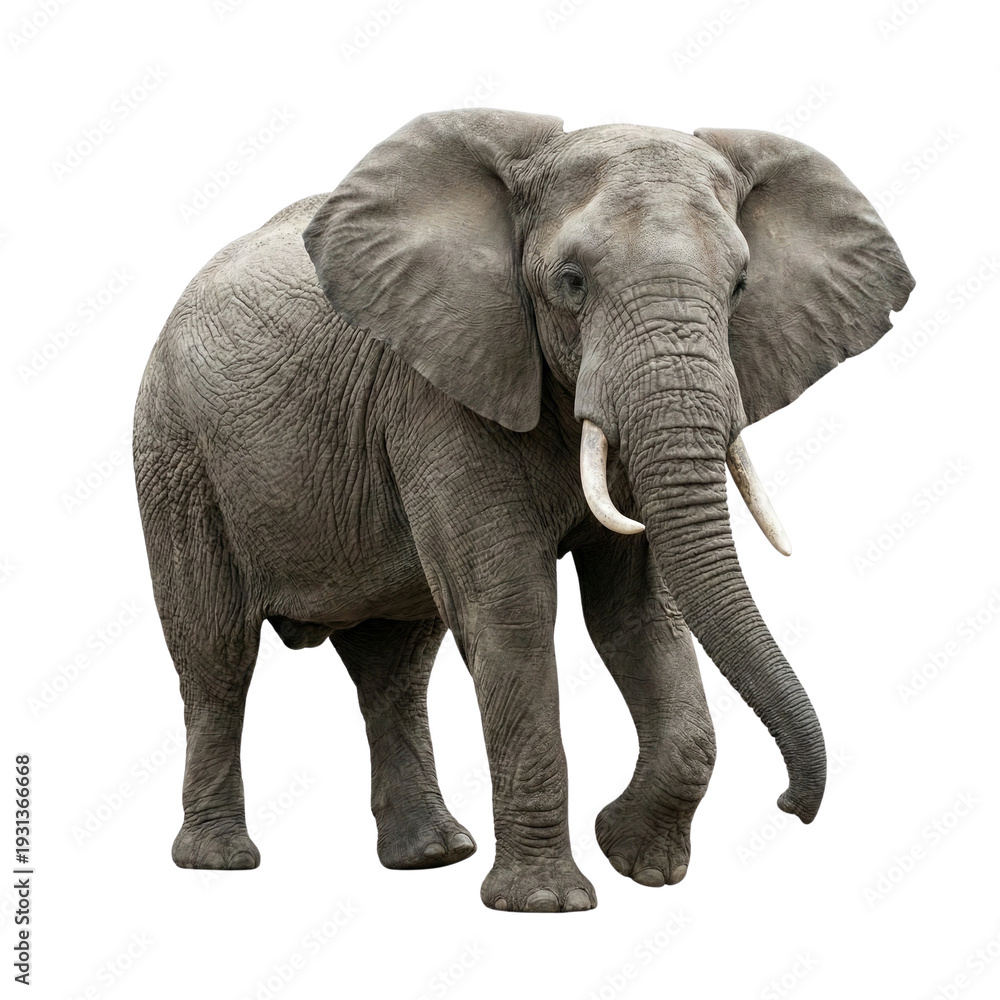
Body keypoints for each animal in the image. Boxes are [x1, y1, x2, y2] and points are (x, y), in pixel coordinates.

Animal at [133, 108, 913, 913]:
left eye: (741, 285)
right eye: (571, 282)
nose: (792, 806)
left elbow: (637, 612)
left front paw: (638, 862)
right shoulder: (436, 392)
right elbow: (510, 609)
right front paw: (547, 904)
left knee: (396, 666)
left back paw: (431, 856)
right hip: (176, 453)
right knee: (217, 652)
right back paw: (220, 862)